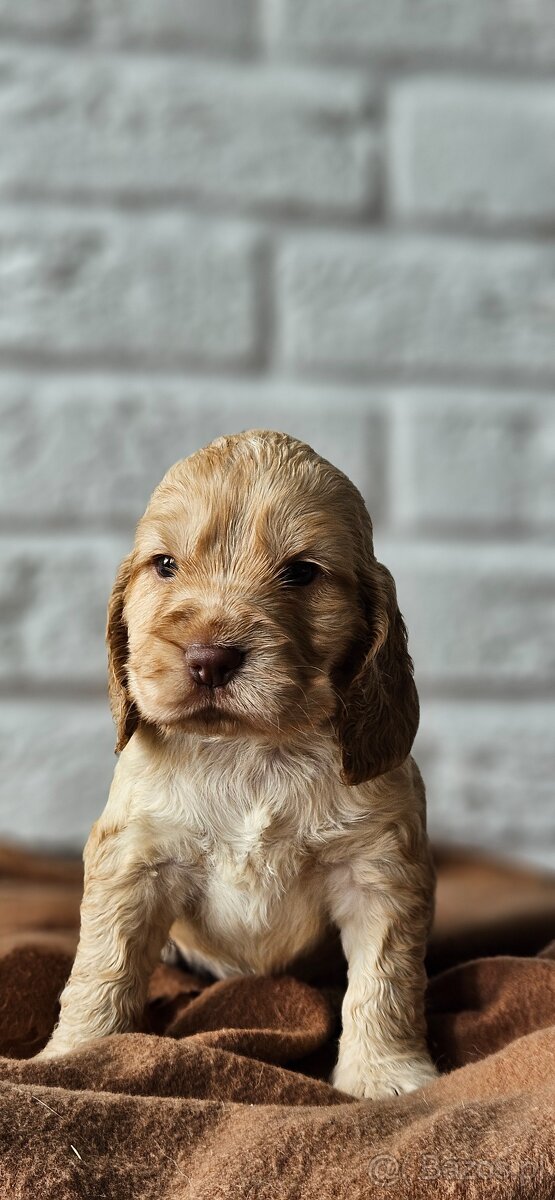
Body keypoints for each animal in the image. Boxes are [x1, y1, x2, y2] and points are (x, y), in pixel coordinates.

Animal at [39, 432, 437, 1099]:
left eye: (301, 572)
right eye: (165, 565)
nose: (209, 658)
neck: (250, 750)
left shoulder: (379, 868)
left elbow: (385, 981)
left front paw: (386, 1073)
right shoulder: (134, 860)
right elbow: (103, 964)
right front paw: (77, 1055)